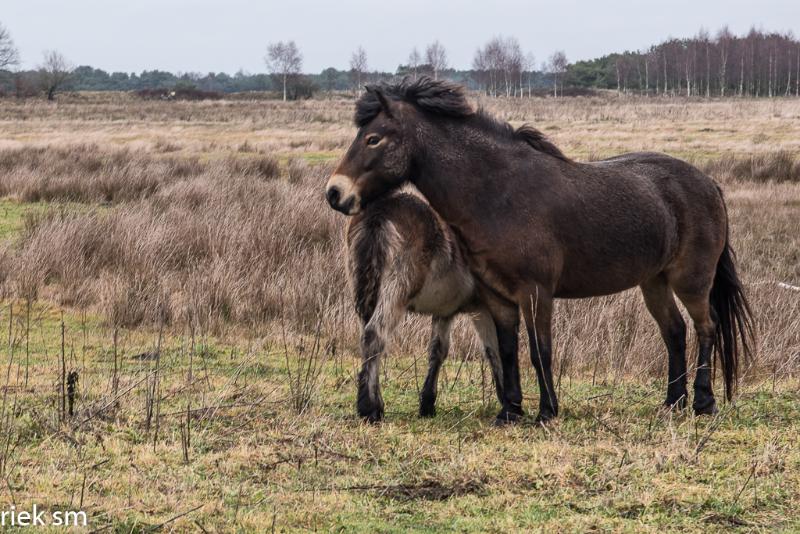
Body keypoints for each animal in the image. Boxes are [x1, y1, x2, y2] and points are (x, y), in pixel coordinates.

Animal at [326, 76, 756, 428]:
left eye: (374, 138)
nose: (335, 192)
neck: (499, 193)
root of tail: (708, 183)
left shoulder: (536, 293)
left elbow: (539, 351)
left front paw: (547, 411)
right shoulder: (497, 297)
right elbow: (506, 351)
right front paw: (510, 411)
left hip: (691, 279)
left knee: (706, 327)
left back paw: (702, 402)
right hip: (654, 282)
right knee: (675, 332)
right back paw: (672, 402)